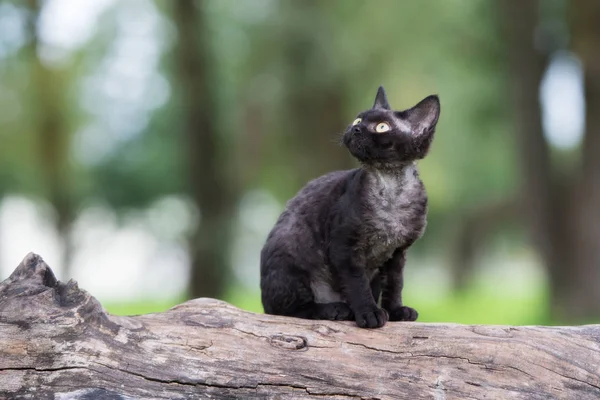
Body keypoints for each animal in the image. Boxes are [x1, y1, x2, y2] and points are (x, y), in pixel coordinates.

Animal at [260, 87, 438, 328]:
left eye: (382, 127)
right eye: (358, 119)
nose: (355, 128)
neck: (391, 186)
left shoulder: (397, 253)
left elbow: (395, 285)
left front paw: (396, 311)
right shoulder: (344, 248)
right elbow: (357, 284)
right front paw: (369, 313)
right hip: (291, 263)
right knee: (288, 310)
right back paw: (334, 309)